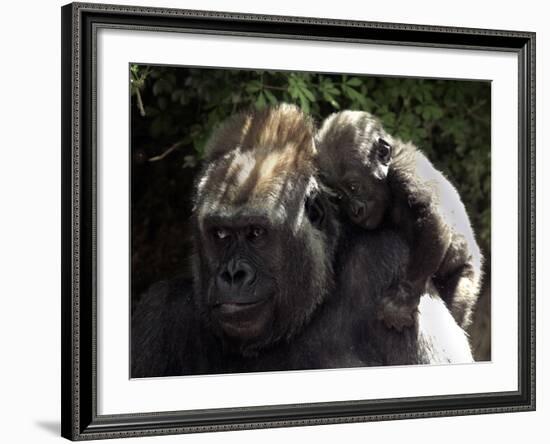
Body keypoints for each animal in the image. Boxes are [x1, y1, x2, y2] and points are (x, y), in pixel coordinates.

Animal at [316, 110, 486, 332]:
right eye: (338, 196)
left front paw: (402, 300)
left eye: (354, 187)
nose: (355, 211)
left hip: (469, 272)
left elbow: (431, 217)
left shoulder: (406, 171)